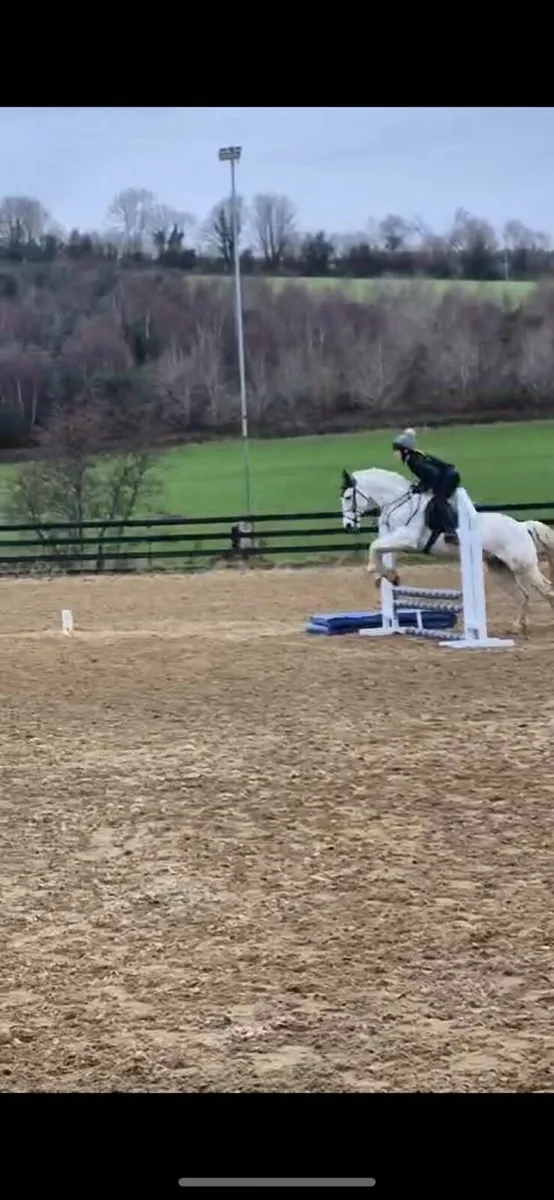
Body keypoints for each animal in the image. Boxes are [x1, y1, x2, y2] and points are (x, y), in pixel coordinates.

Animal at [340, 467, 554, 636]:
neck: (399, 503)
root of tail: (522, 526)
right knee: (523, 596)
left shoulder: (407, 540)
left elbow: (374, 547)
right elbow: (379, 549)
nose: (348, 526)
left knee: (546, 590)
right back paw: (518, 627)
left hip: (524, 566)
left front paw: (385, 574)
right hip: (499, 569)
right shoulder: (394, 538)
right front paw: (385, 576)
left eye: (348, 497)